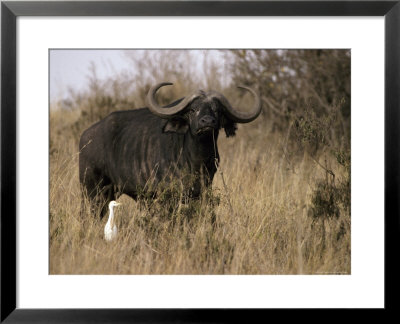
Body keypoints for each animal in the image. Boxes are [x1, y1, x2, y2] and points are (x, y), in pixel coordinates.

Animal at [79, 81, 260, 218]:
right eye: (193, 109)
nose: (207, 122)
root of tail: (86, 136)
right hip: (91, 191)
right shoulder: (167, 197)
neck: (196, 160)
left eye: (217, 110)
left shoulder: (202, 192)